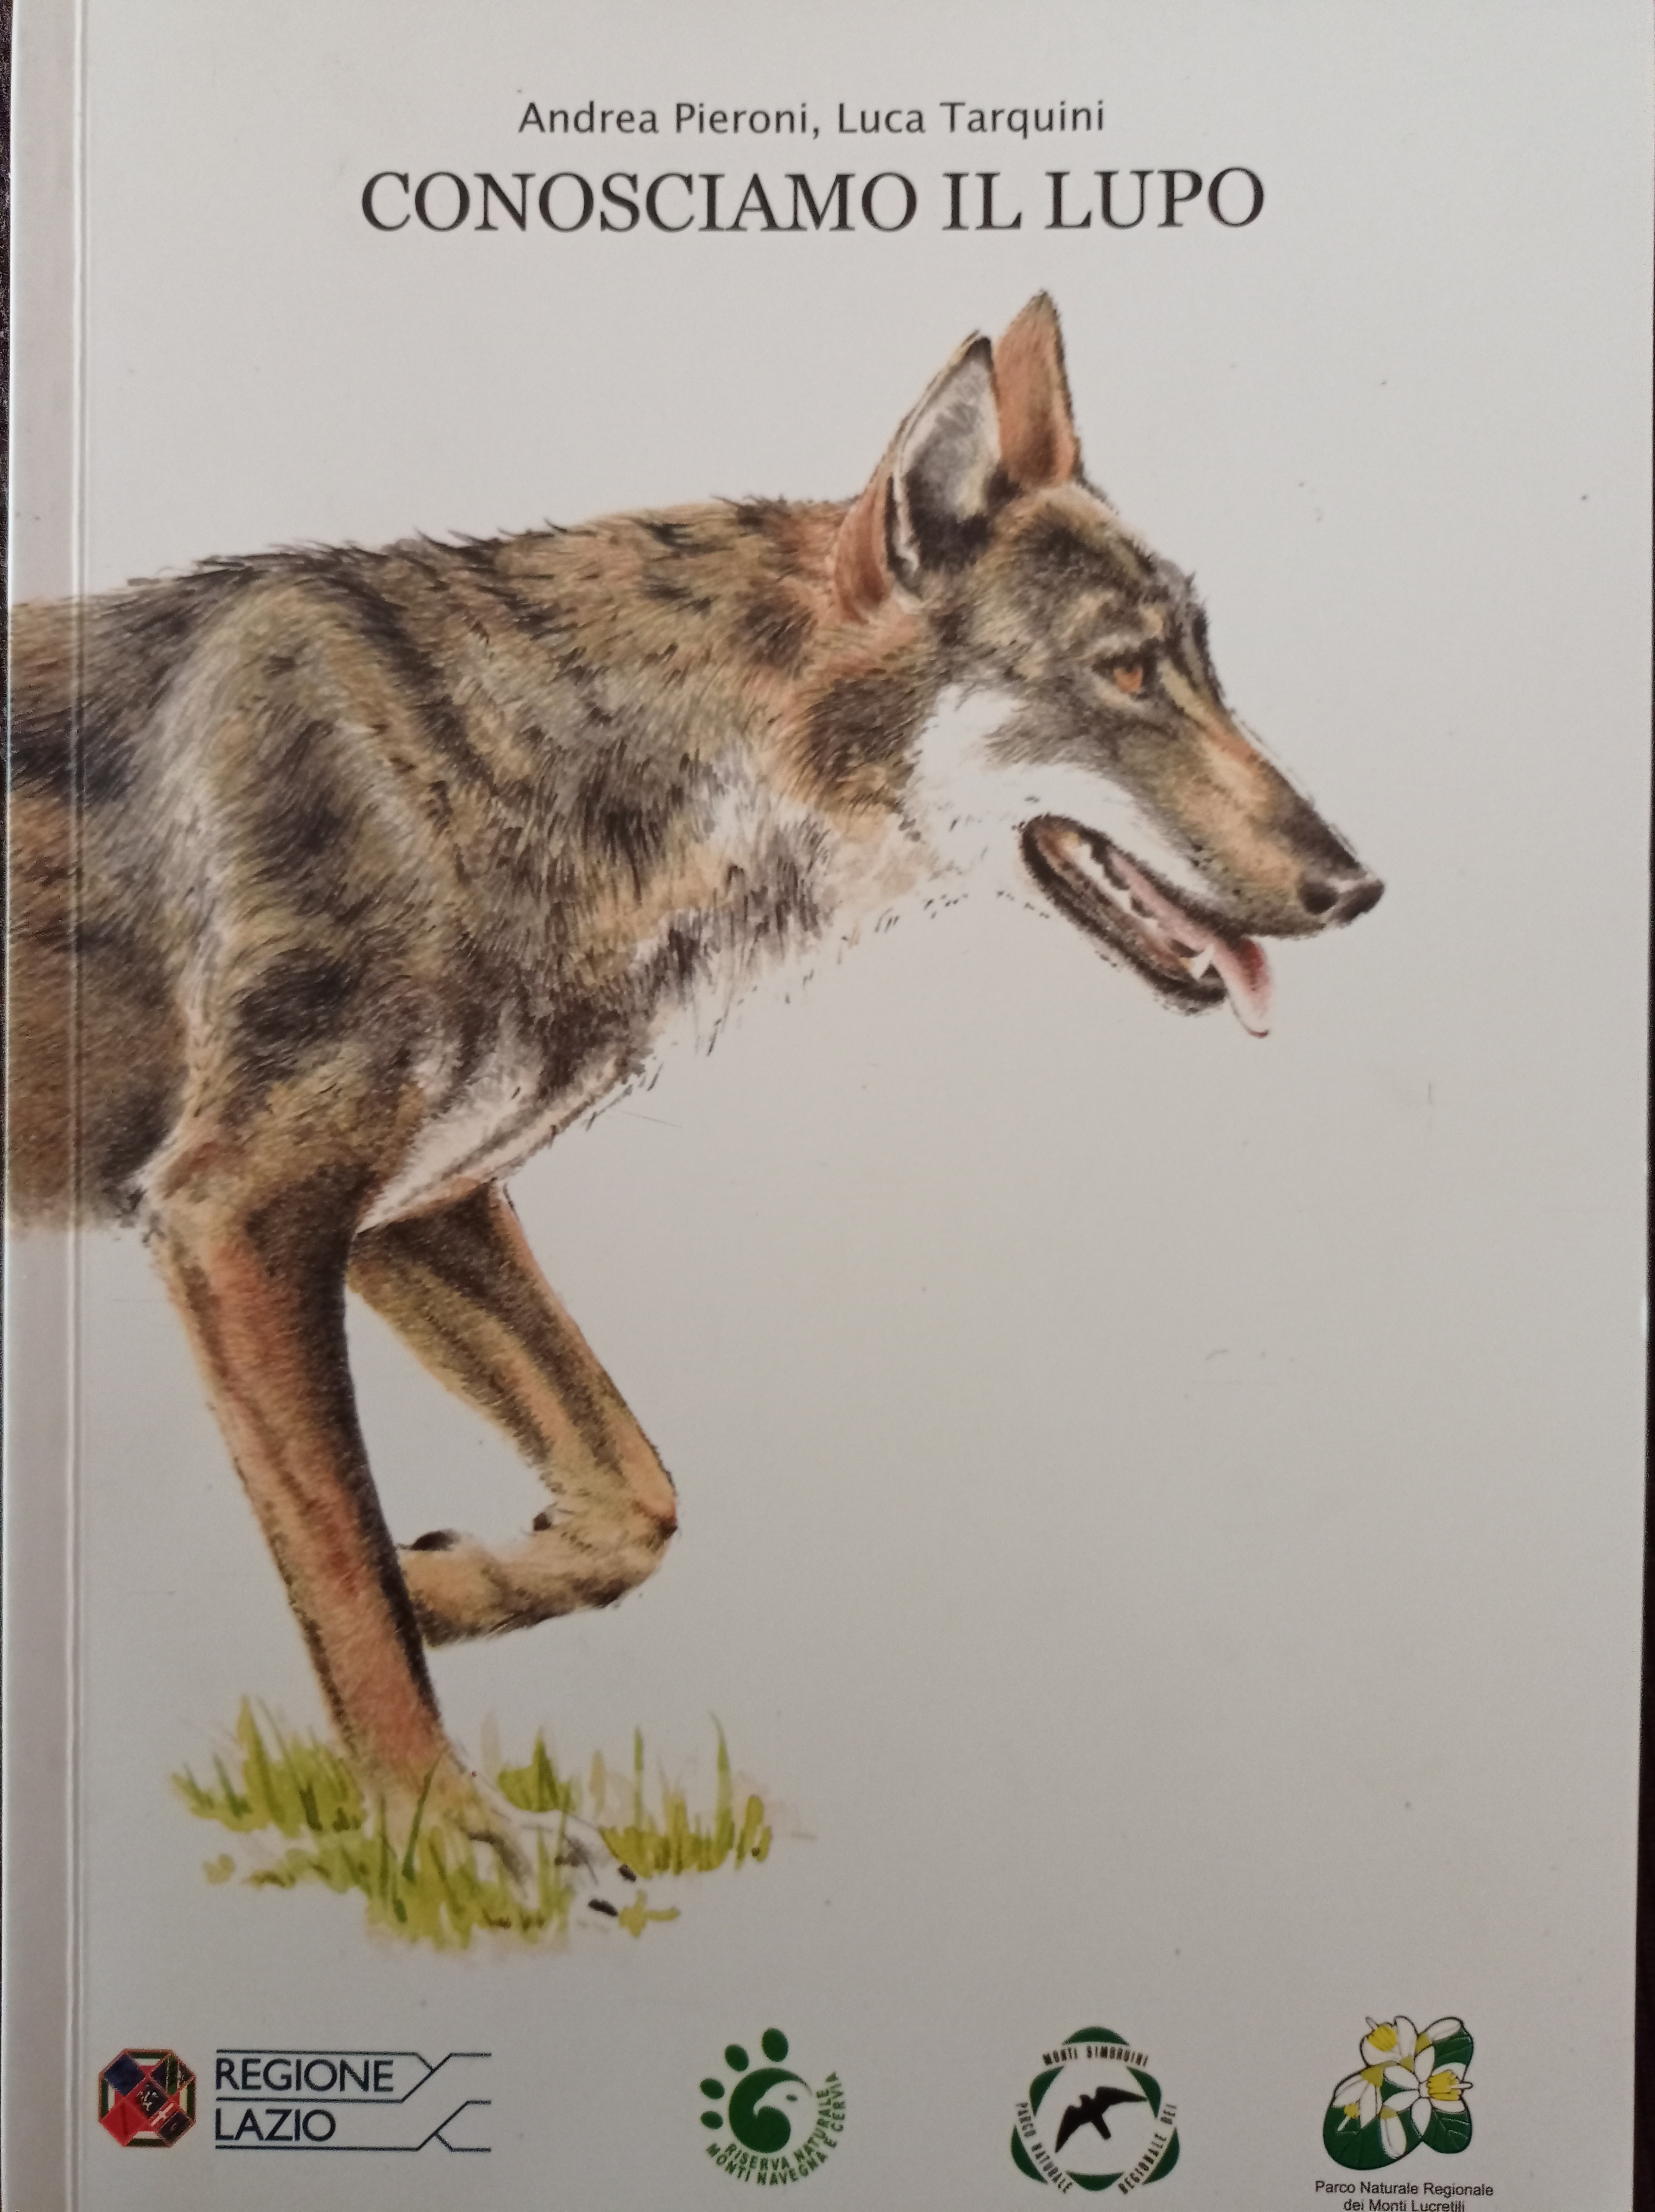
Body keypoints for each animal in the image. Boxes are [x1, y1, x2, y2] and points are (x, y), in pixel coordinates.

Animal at [7, 296, 1380, 1826]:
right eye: (1128, 673)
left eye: (1204, 666)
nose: (1355, 886)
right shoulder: (233, 1220)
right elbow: (348, 1580)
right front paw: (449, 1836)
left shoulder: (411, 1210)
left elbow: (629, 1499)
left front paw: (452, 1588)